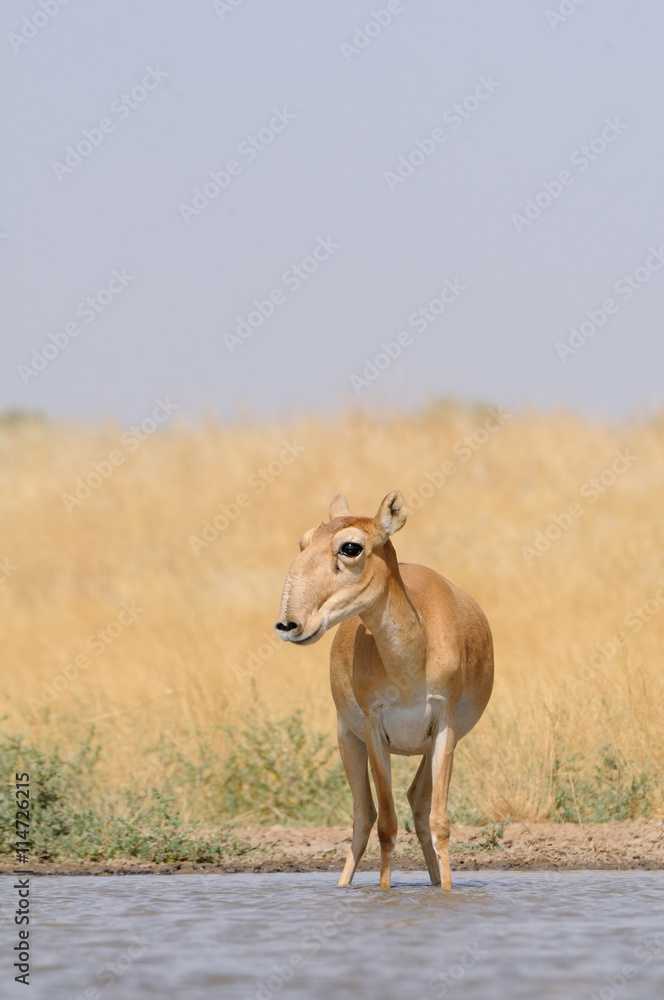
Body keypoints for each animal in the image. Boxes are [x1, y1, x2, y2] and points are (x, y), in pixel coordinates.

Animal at [274, 491, 494, 889]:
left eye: (350, 546)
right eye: (304, 541)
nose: (289, 624)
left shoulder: (444, 728)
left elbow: (440, 823)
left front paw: (447, 889)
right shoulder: (375, 731)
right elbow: (387, 826)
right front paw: (384, 891)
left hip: (426, 748)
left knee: (417, 803)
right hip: (348, 741)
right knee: (365, 817)